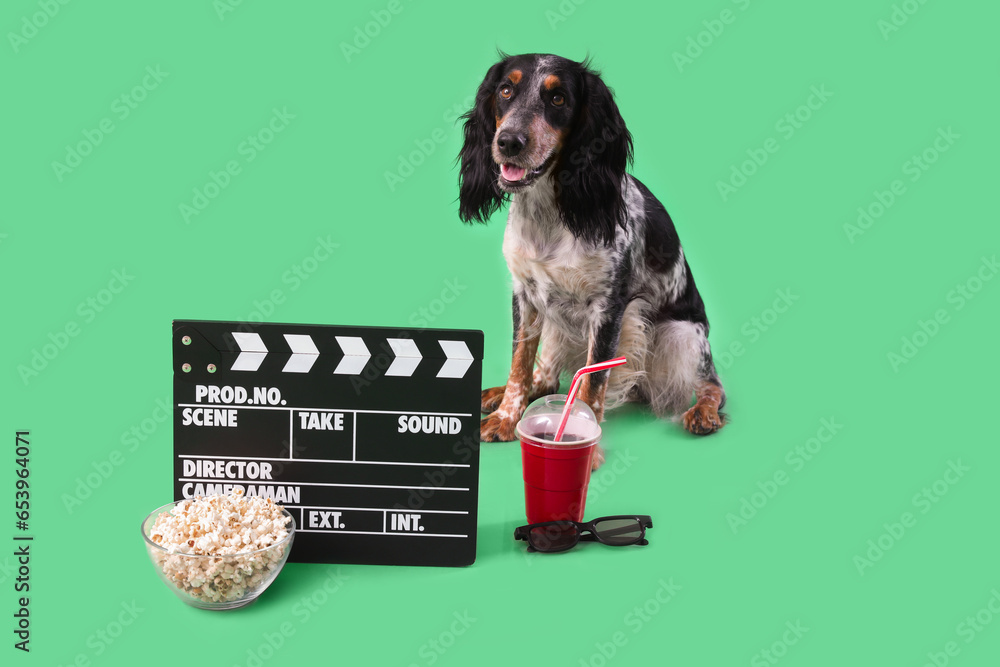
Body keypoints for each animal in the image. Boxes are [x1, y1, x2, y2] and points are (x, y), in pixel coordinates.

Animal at [458, 54, 724, 460]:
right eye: (505, 90)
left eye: (558, 99)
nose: (508, 142)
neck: (550, 212)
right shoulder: (525, 294)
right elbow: (520, 364)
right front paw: (506, 416)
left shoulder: (609, 307)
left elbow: (593, 383)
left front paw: (586, 445)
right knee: (546, 377)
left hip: (681, 336)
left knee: (713, 385)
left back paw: (704, 412)